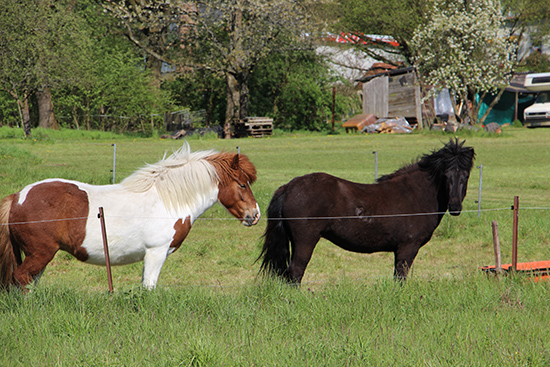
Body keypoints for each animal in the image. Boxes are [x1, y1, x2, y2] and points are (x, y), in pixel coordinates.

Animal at [0, 145, 260, 292]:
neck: (165, 199)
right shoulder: (156, 252)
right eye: (242, 184)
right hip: (40, 254)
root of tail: (18, 196)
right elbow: (149, 287)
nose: (255, 214)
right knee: (21, 278)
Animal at [260, 139, 476, 284]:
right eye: (446, 175)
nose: (455, 207)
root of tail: (289, 186)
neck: (415, 193)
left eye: (466, 175)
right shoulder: (407, 248)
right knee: (296, 271)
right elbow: (400, 277)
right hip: (305, 241)